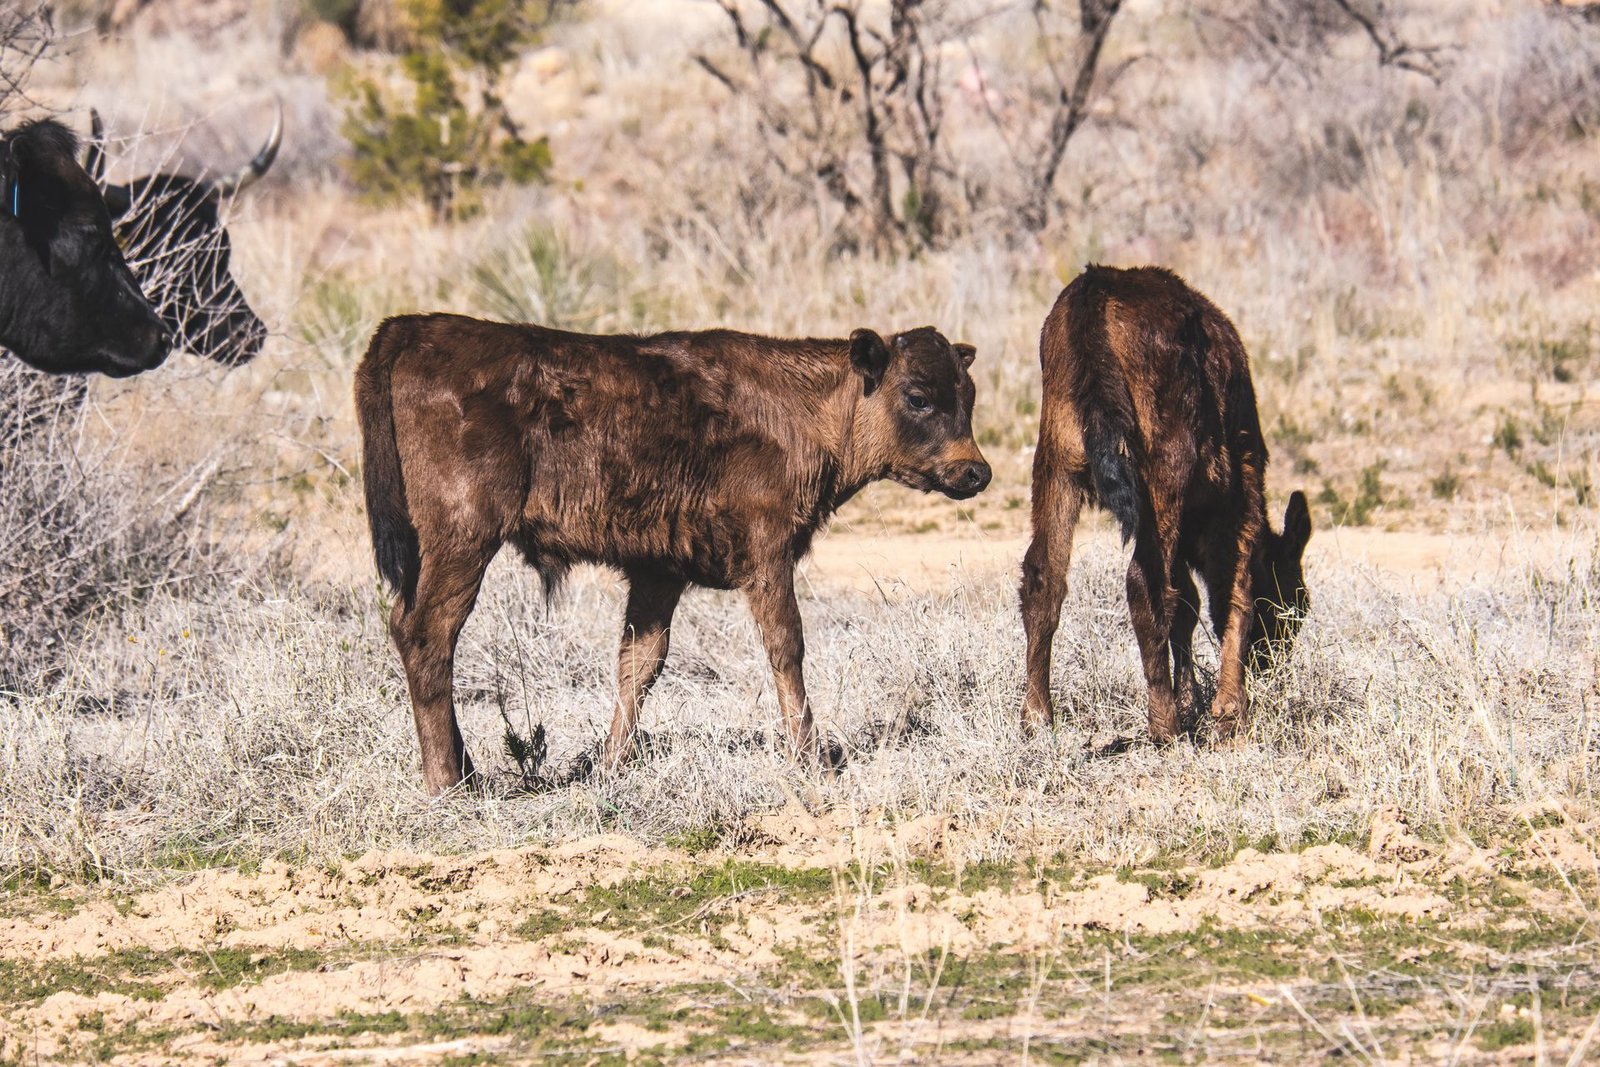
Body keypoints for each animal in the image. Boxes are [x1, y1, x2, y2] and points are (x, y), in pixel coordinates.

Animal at [356, 314, 991, 794]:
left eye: (968, 395)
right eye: (917, 397)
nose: (975, 471)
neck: (809, 407)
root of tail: (412, 327)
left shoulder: (658, 573)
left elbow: (639, 664)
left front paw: (610, 766)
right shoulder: (768, 554)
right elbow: (786, 646)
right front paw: (813, 759)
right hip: (463, 542)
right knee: (426, 633)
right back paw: (450, 781)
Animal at [1019, 265, 1311, 744]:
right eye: (1292, 605)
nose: (1269, 660)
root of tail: (1094, 290)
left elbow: (1186, 604)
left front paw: (1191, 699)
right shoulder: (1243, 484)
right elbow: (1233, 589)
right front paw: (1228, 712)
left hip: (1056, 464)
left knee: (1044, 578)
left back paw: (1038, 717)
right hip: (1164, 469)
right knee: (1144, 583)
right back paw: (1164, 726)